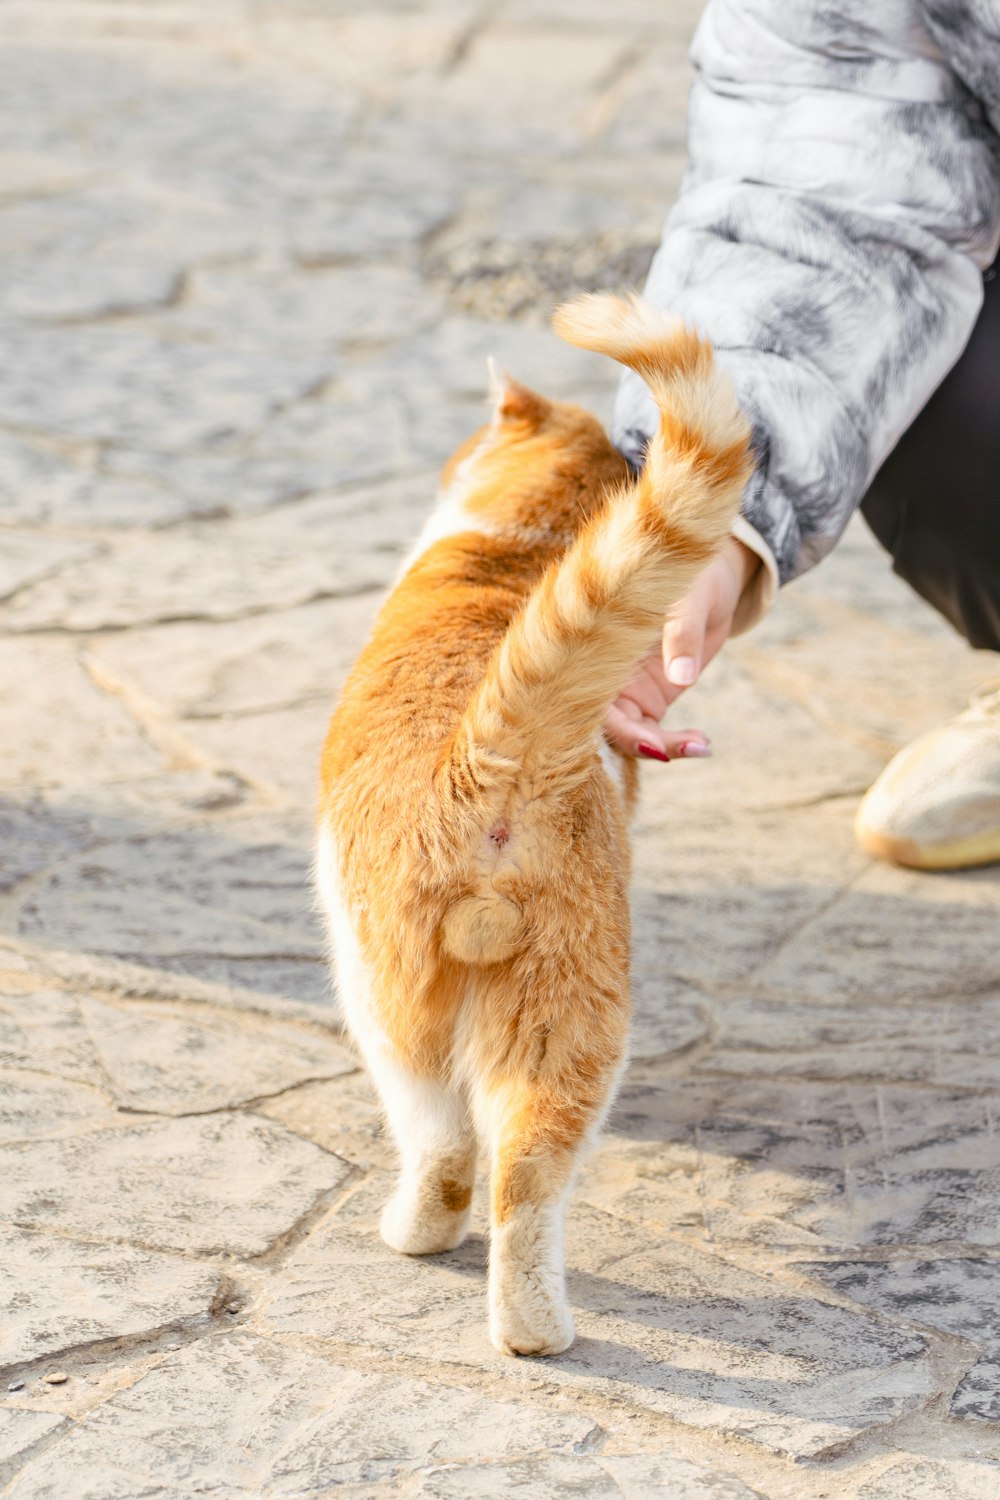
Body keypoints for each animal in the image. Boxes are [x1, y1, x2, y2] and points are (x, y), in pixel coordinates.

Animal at [316, 295, 746, 1362]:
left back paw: (417, 1238)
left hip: (384, 994)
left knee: (446, 1141)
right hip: (568, 1013)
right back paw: (535, 1332)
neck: (529, 548)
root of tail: (495, 760)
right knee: (526, 1175)